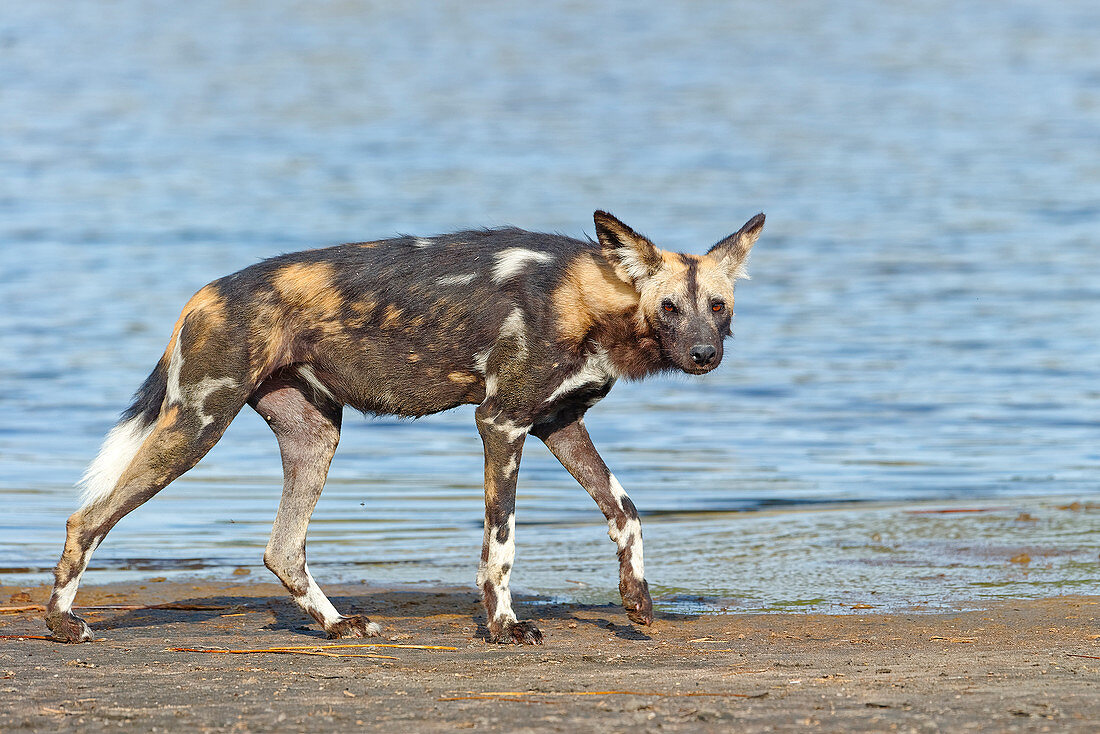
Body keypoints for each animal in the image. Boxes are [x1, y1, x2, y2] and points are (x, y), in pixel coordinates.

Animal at [45, 209, 765, 647]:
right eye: (669, 307)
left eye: (717, 306)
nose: (704, 355)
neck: (590, 298)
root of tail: (205, 292)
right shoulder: (501, 424)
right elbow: (501, 544)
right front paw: (504, 628)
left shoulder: (558, 426)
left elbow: (626, 511)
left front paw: (637, 601)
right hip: (198, 424)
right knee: (87, 519)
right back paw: (62, 624)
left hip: (314, 439)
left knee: (283, 549)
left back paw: (336, 626)